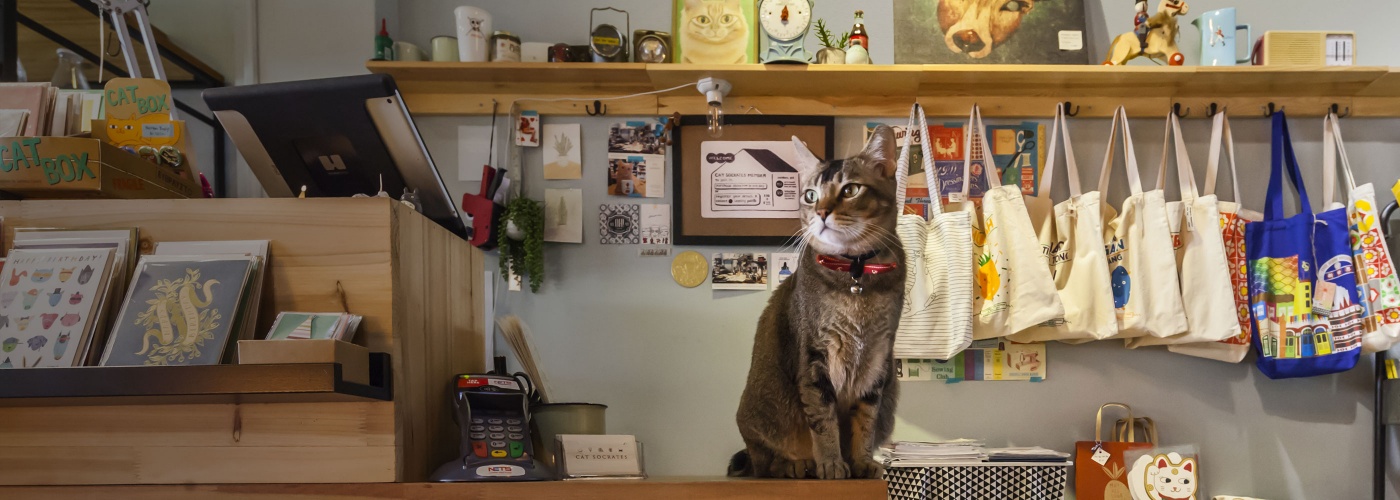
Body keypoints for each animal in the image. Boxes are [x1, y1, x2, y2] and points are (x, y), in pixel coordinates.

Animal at [728, 126, 901, 476]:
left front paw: (862, 462)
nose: (821, 212)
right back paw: (796, 464)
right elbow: (823, 421)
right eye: (810, 195)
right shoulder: (814, 358)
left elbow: (866, 421)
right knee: (764, 461)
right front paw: (832, 463)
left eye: (850, 189)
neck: (855, 275)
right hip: (760, 412)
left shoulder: (878, 360)